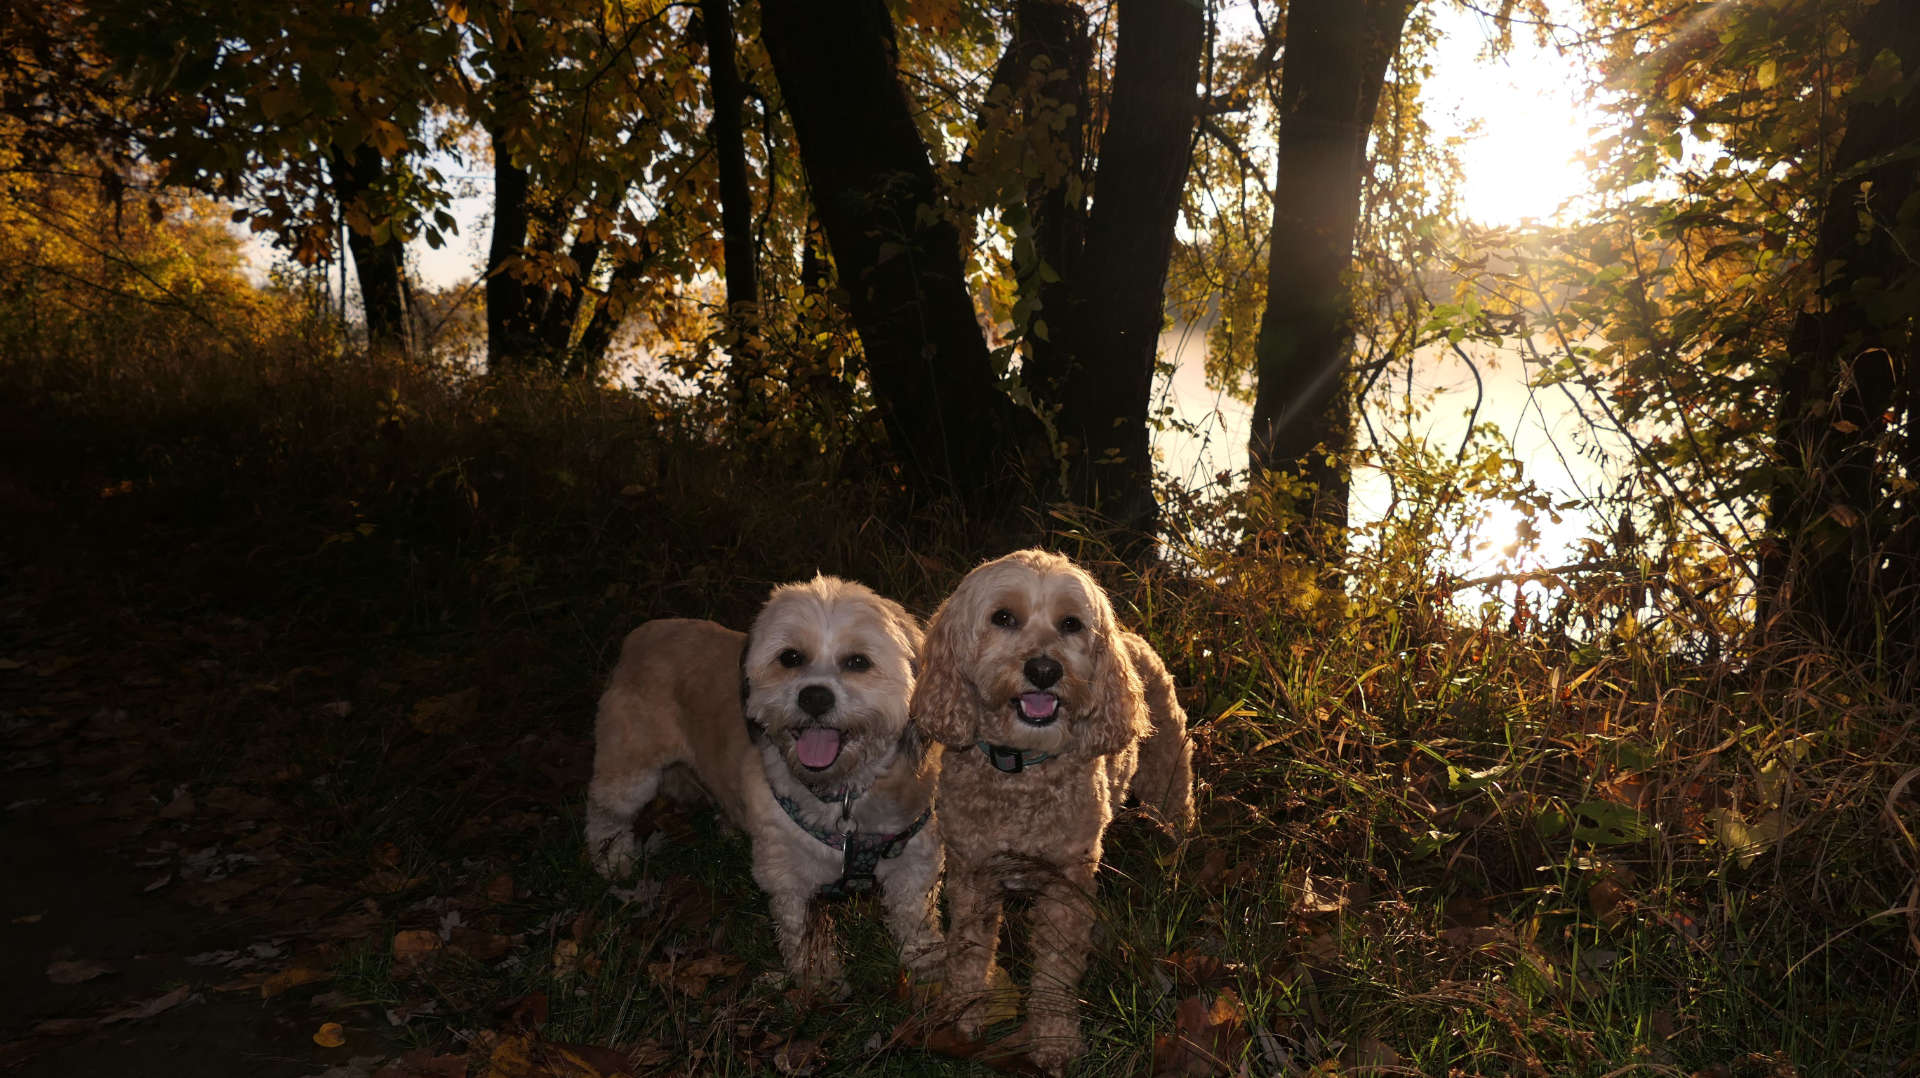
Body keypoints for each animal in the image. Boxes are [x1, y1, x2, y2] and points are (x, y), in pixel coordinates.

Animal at [583, 576, 944, 991]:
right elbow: (801, 932)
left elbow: (915, 922)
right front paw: (817, 978)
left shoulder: (913, 863)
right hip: (630, 769)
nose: (814, 697)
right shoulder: (787, 874)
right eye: (790, 657)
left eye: (858, 661)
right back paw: (614, 862)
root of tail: (642, 634)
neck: (844, 796)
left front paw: (929, 969)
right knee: (604, 814)